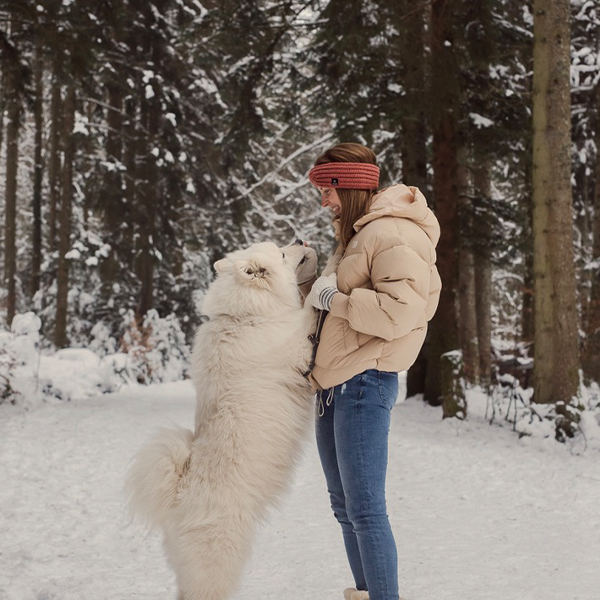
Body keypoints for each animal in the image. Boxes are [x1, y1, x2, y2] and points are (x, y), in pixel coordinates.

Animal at [125, 240, 316, 600]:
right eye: (282, 253)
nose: (300, 240)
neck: (245, 317)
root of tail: (177, 499)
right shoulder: (299, 347)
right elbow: (311, 310)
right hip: (220, 562)